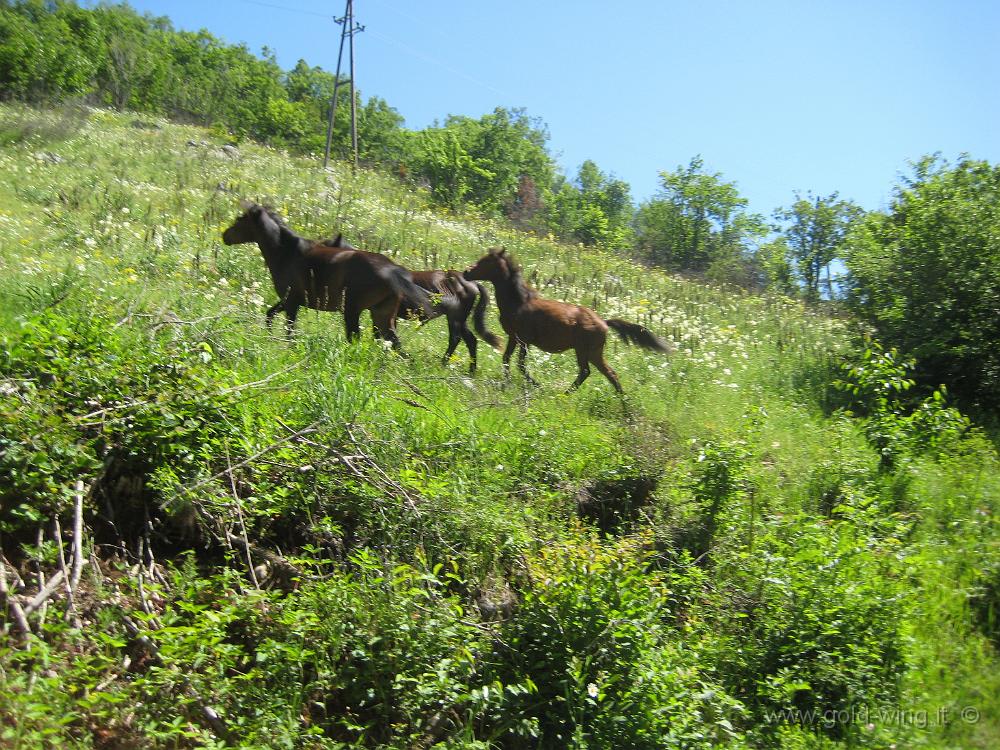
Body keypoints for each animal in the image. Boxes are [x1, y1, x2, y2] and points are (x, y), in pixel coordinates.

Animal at [223, 203, 430, 350]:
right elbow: (270, 315)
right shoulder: (290, 300)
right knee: (396, 346)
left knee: (356, 339)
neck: (286, 252)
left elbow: (289, 331)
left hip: (353, 311)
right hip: (381, 315)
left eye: (240, 219)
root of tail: (393, 271)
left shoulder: (291, 302)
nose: (225, 236)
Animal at [462, 250, 672, 396]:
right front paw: (505, 384)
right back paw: (625, 407)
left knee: (586, 372)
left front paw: (537, 385)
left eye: (487, 261)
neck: (519, 302)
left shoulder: (524, 340)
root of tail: (604, 322)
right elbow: (506, 359)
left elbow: (520, 364)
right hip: (594, 353)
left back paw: (565, 394)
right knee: (610, 373)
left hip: (584, 351)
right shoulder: (514, 338)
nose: (466, 272)